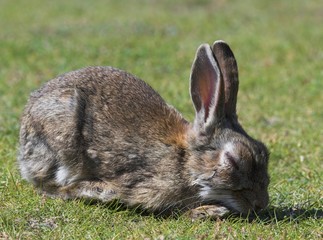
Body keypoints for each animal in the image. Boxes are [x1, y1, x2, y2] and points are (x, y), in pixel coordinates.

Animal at [17, 40, 270, 219]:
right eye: (234, 161)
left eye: (265, 152)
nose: (261, 204)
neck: (184, 161)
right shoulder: (147, 188)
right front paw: (208, 211)